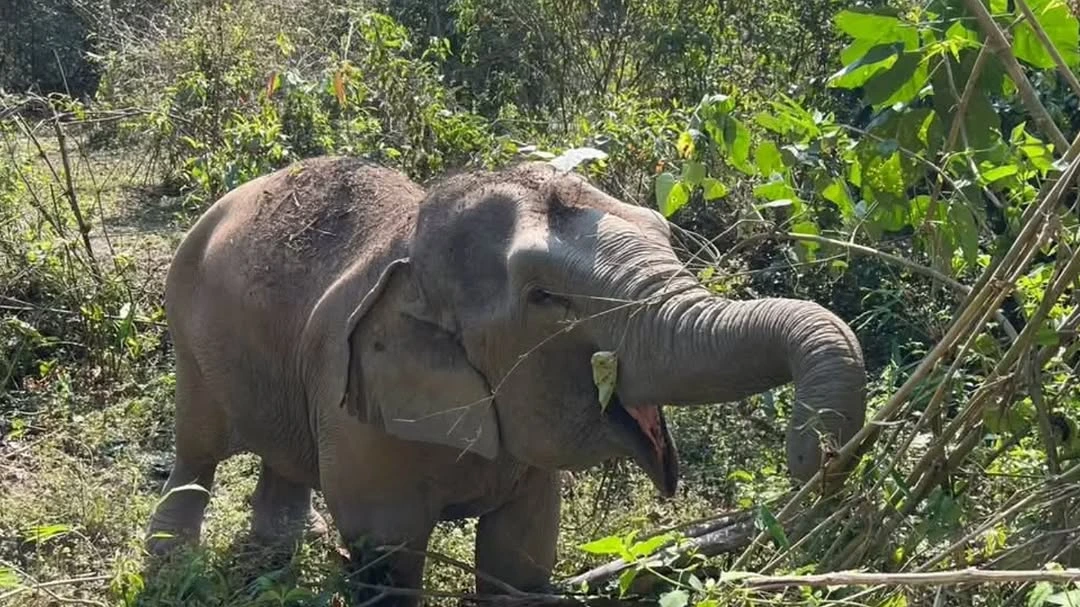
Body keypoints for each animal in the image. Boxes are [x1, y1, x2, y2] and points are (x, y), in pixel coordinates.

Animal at [146, 156, 866, 602]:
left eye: (665, 231)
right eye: (546, 297)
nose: (816, 456)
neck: (410, 251)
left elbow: (518, 559)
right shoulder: (354, 411)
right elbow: (386, 557)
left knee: (283, 463)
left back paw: (277, 557)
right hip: (188, 330)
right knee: (197, 453)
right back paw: (172, 565)